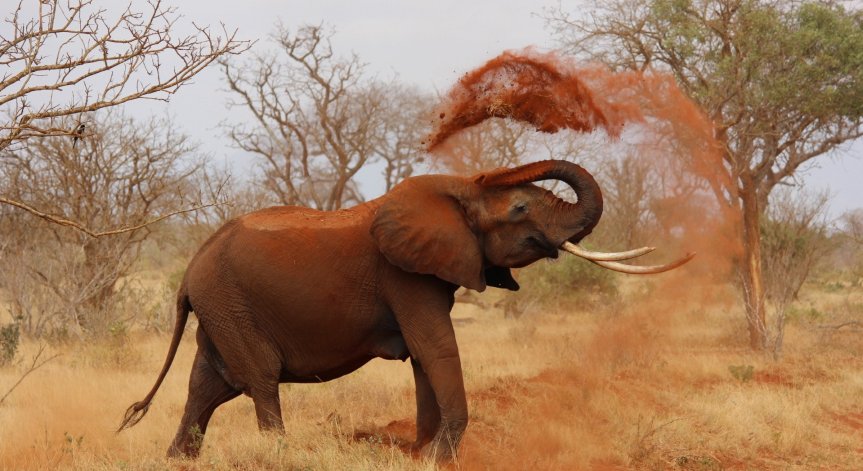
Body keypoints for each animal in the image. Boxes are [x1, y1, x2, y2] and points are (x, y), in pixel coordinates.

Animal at [118, 159, 690, 461]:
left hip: (220, 309)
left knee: (207, 387)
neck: (457, 191)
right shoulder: (405, 276)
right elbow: (435, 348)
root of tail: (189, 270)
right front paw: (439, 457)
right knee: (258, 379)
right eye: (521, 208)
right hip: (230, 304)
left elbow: (423, 357)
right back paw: (278, 456)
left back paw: (177, 462)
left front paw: (422, 453)